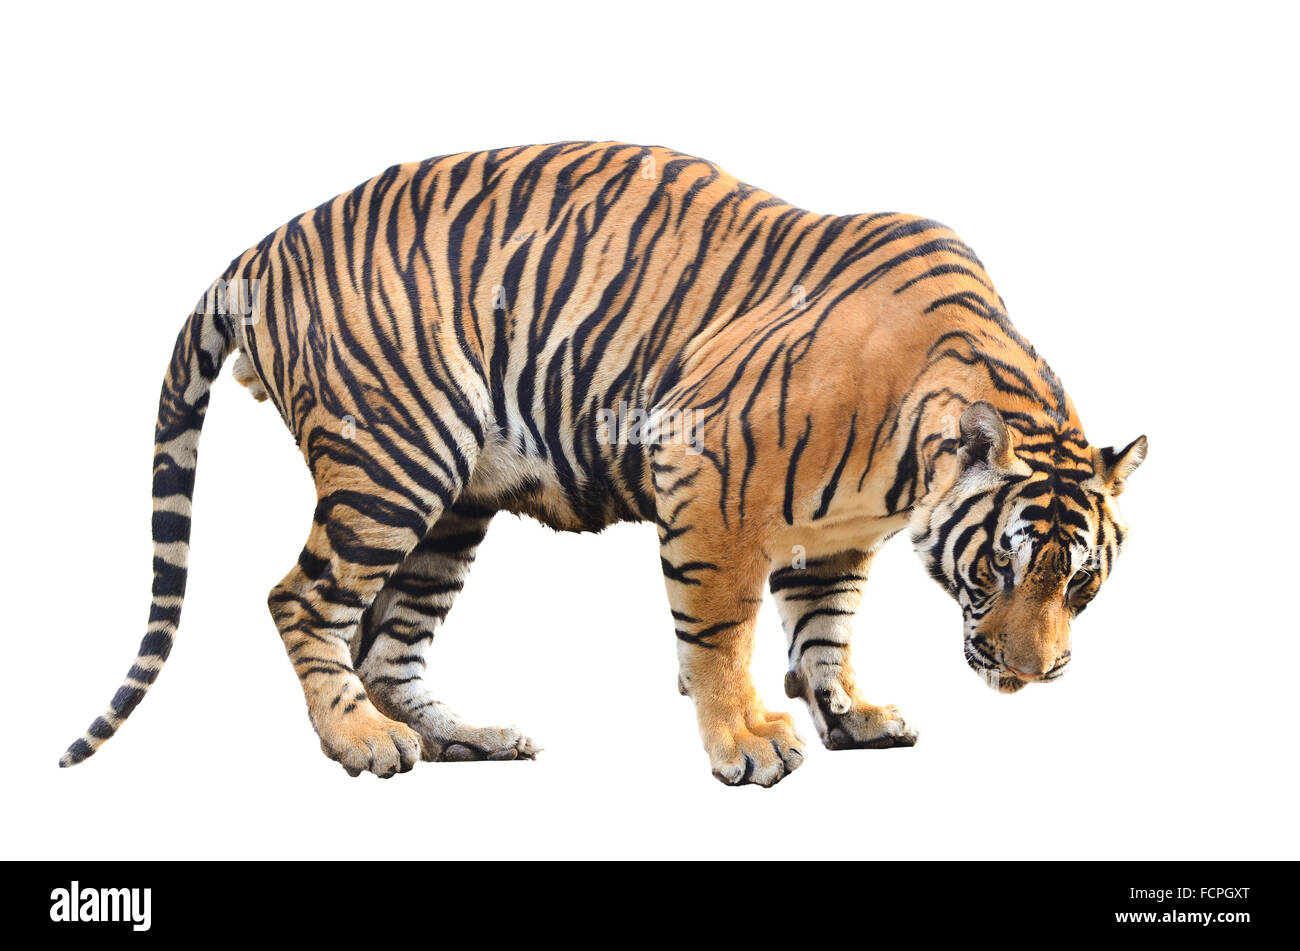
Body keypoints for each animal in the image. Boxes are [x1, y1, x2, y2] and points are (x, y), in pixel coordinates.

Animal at [60, 141, 1146, 786]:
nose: (1032, 674)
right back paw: (360, 743)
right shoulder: (707, 475)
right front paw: (746, 739)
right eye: (999, 565)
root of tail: (259, 250)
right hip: (394, 463)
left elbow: (826, 629)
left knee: (386, 642)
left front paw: (850, 714)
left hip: (450, 506)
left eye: (1081, 583)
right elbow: (719, 626)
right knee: (302, 600)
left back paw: (463, 737)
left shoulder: (837, 536)